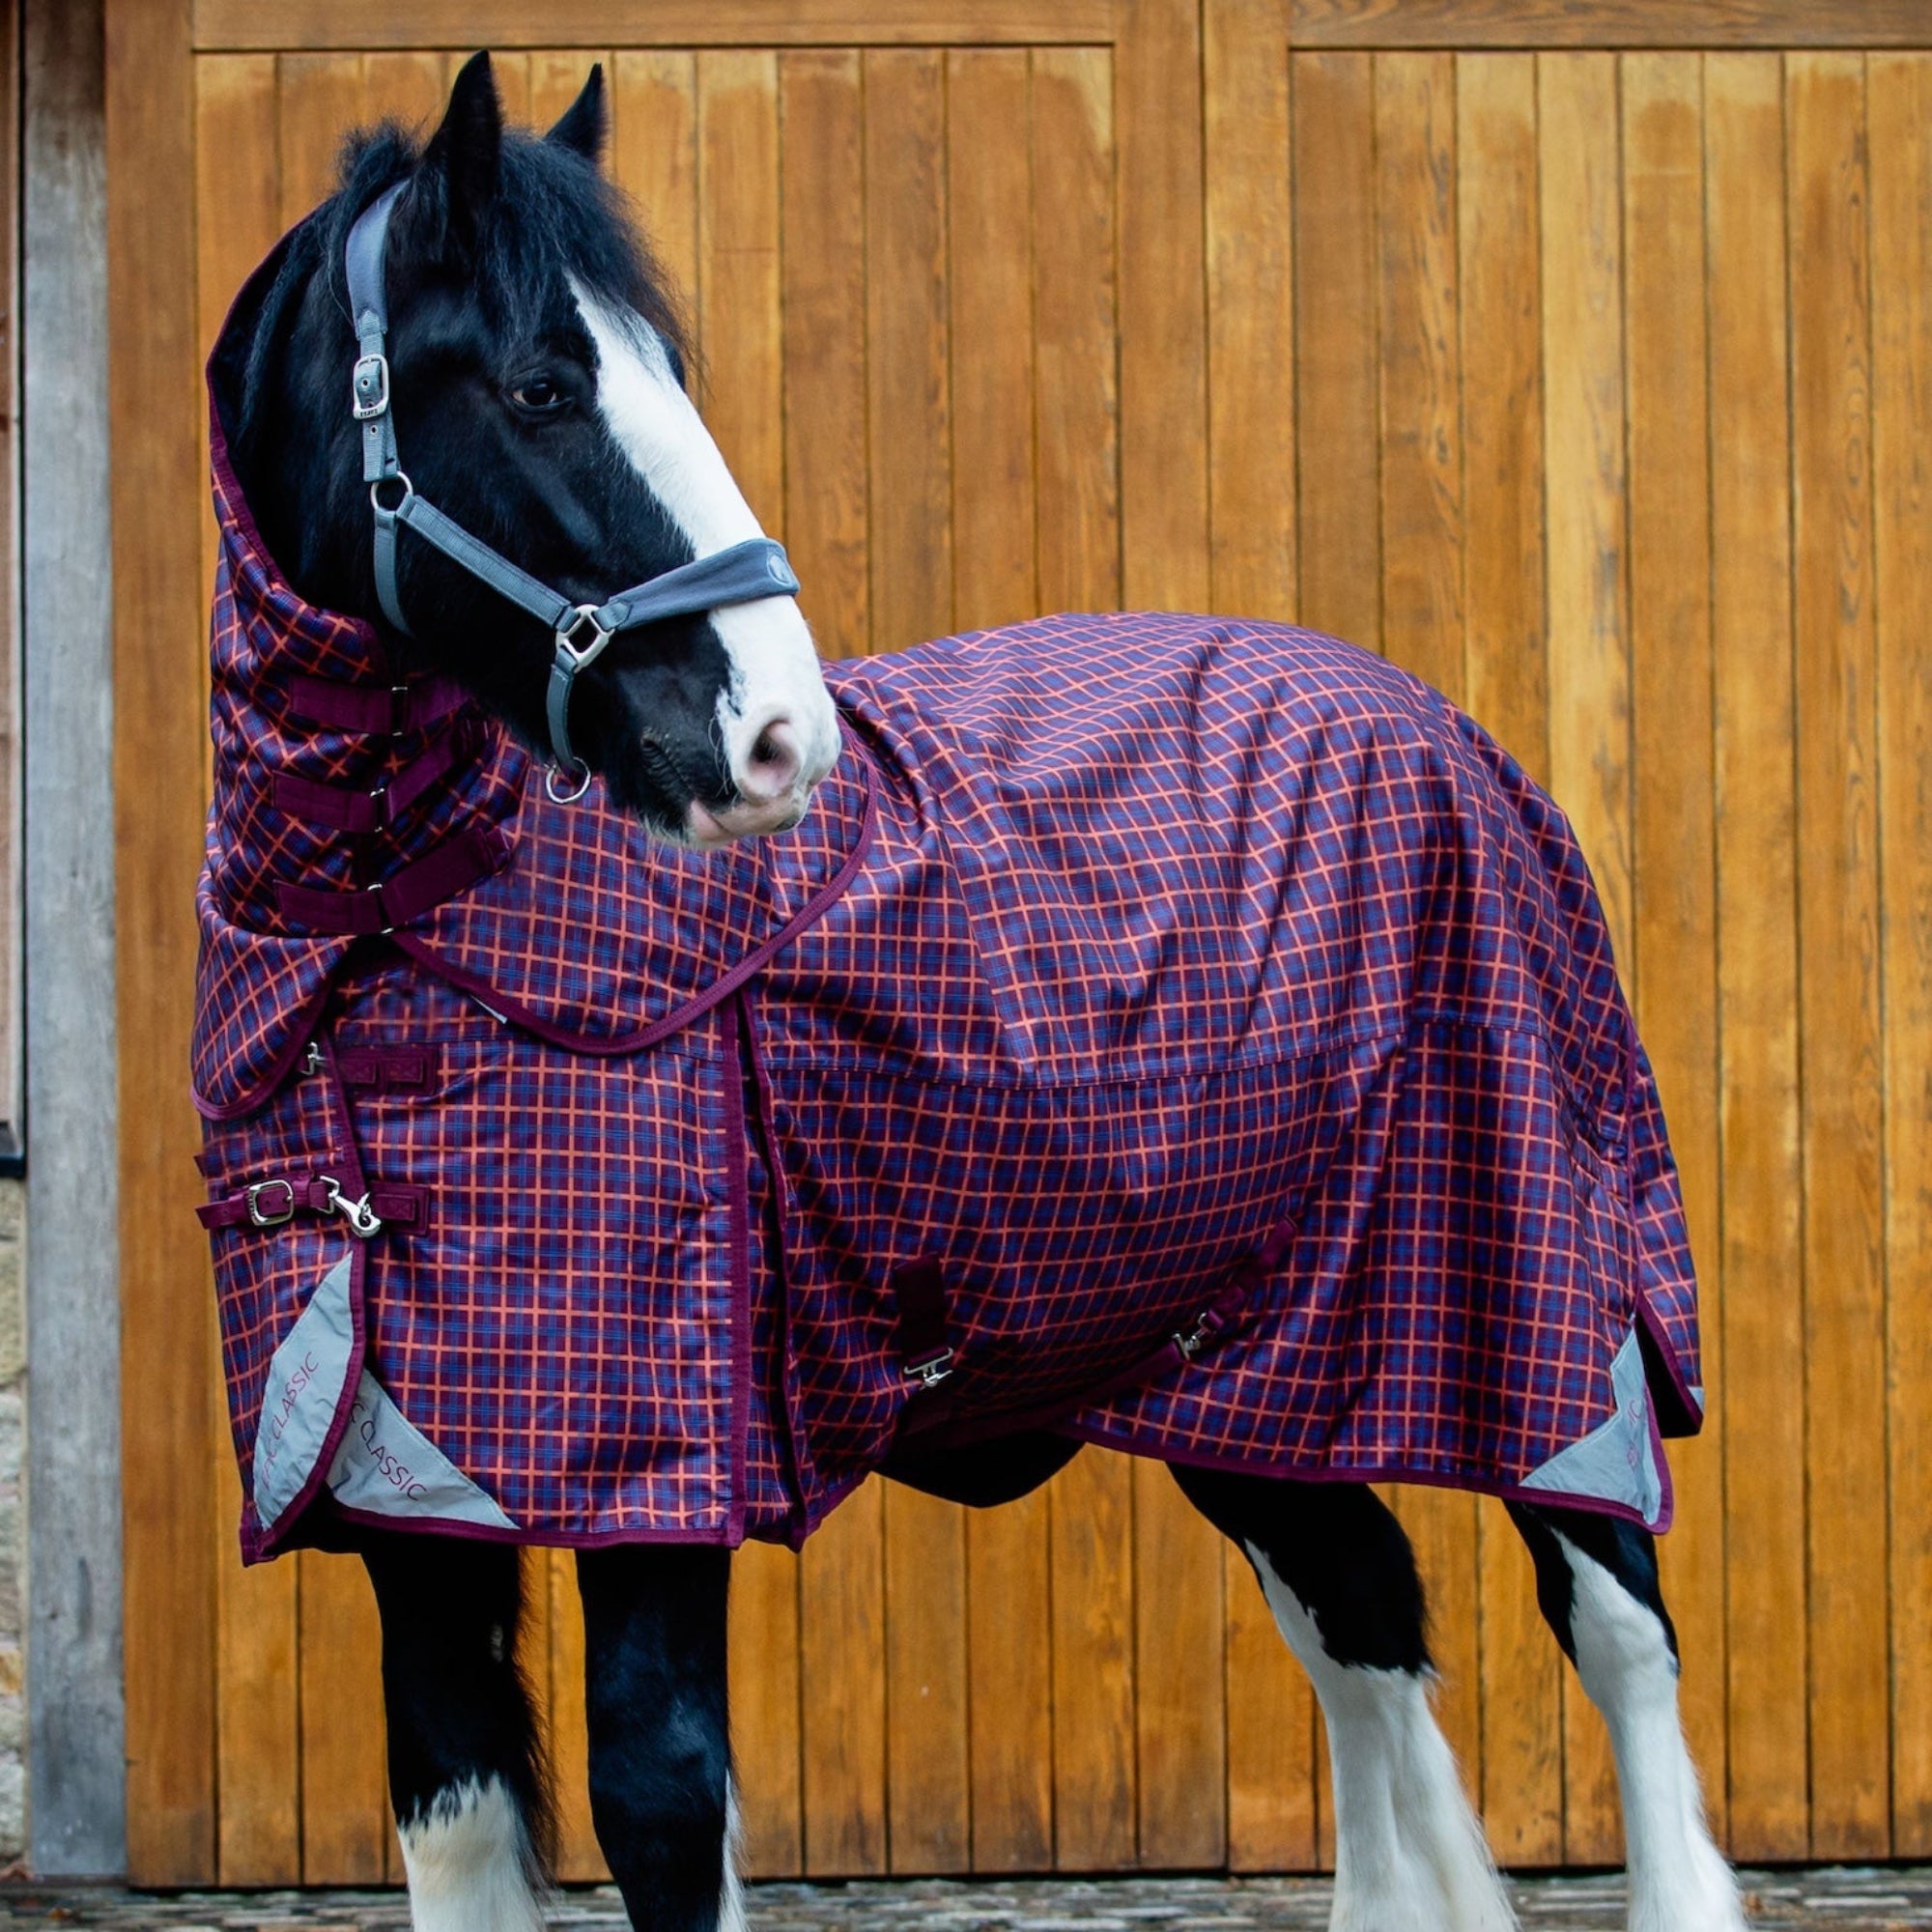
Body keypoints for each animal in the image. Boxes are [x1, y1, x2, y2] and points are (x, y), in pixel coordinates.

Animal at [199, 50, 1746, 1932]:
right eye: (540, 384)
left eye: (665, 375)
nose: (779, 735)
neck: (388, 947)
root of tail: (1452, 732)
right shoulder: (412, 1506)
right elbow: (457, 1812)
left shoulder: (665, 1490)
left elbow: (661, 1801)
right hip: (1258, 1373)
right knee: (1364, 1631)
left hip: (1543, 1318)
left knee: (1617, 1625)